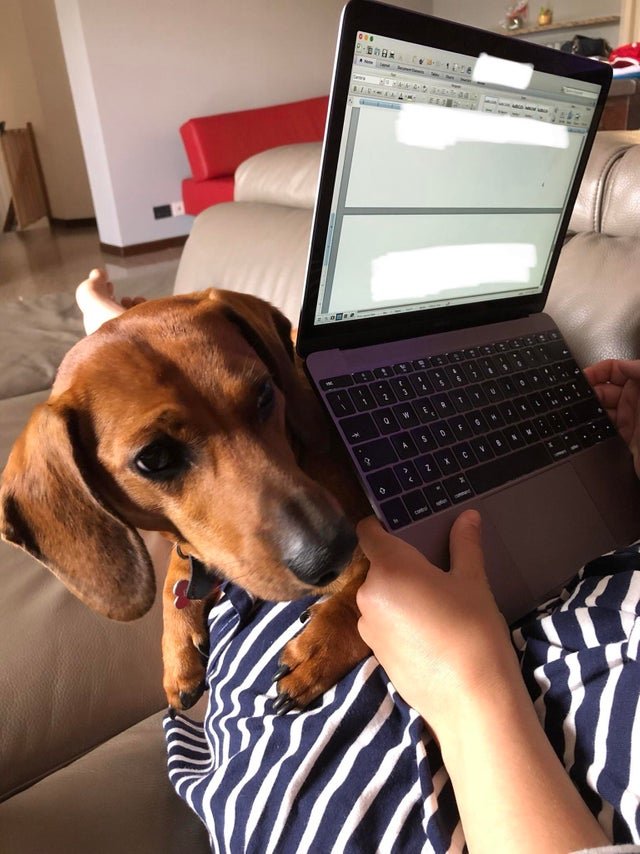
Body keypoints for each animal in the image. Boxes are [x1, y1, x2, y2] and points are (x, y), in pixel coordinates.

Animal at [0, 290, 370, 712]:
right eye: (154, 457)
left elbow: (368, 584)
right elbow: (178, 577)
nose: (334, 552)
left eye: (264, 393)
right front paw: (177, 648)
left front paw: (322, 644)